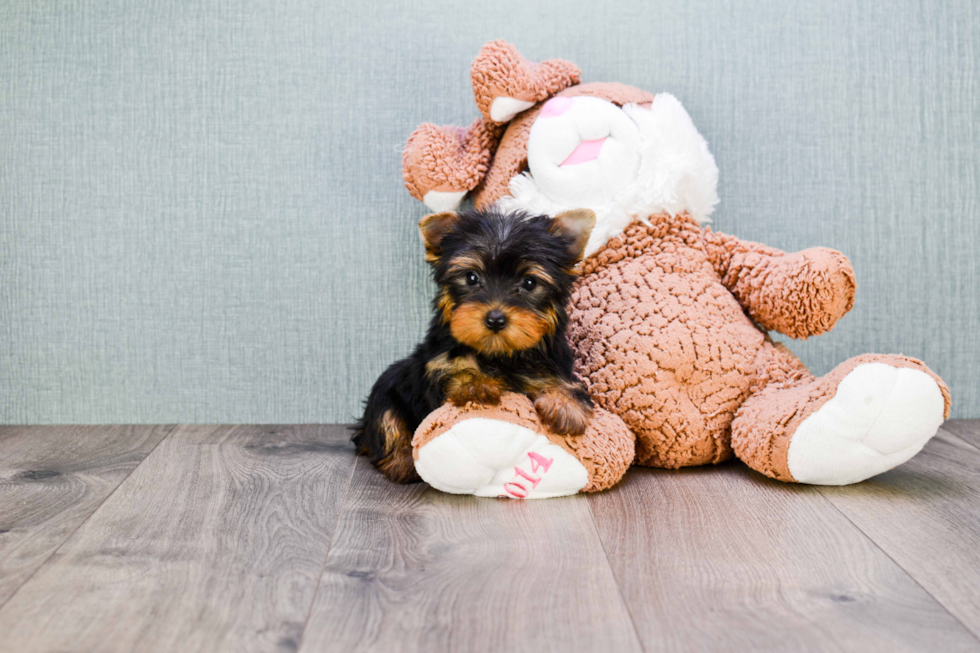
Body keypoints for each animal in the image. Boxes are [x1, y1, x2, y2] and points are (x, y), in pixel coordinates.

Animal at [352, 206, 596, 482]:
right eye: (471, 278)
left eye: (529, 283)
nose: (495, 318)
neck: (499, 354)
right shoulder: (437, 365)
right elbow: (455, 372)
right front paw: (475, 384)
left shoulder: (554, 362)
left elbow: (565, 383)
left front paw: (565, 404)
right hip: (386, 391)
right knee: (387, 422)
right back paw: (402, 462)